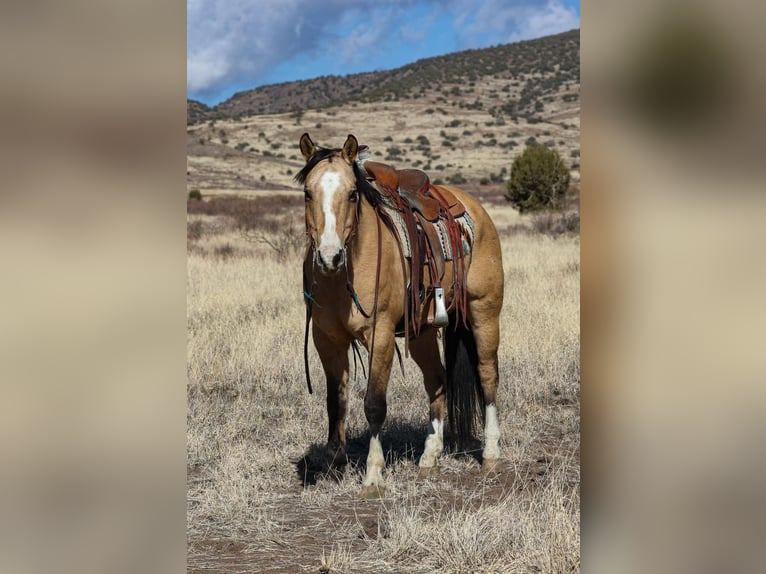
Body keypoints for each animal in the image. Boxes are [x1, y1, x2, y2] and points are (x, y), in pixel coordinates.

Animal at [296, 133, 504, 499]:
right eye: (308, 193)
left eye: (352, 194)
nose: (329, 257)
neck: (346, 271)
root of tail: (476, 209)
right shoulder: (327, 339)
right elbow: (336, 401)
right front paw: (334, 464)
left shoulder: (379, 335)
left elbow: (374, 404)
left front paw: (373, 475)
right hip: (422, 333)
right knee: (437, 381)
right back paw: (429, 458)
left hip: (484, 313)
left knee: (487, 375)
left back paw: (491, 454)